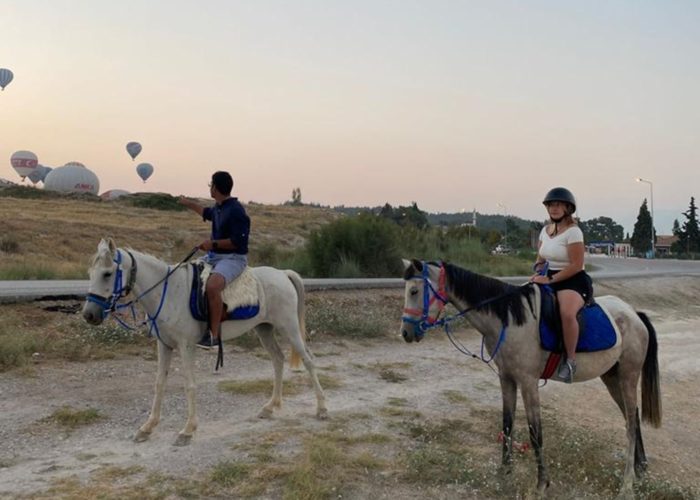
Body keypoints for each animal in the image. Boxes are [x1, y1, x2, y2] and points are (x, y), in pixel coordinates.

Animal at [82, 238, 328, 446]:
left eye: (107, 274)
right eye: (90, 273)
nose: (89, 315)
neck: (167, 292)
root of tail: (282, 274)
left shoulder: (186, 346)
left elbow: (189, 385)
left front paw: (188, 430)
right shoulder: (164, 345)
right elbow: (159, 383)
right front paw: (147, 427)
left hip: (289, 328)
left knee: (308, 360)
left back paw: (321, 408)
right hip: (264, 329)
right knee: (277, 360)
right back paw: (270, 407)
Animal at [400, 260, 660, 498]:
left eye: (414, 291)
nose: (405, 333)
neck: (508, 319)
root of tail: (633, 314)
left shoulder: (528, 382)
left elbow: (536, 433)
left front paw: (541, 484)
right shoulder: (507, 378)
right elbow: (507, 424)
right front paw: (504, 472)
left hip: (628, 376)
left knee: (630, 424)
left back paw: (627, 484)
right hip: (612, 377)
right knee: (632, 418)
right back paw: (640, 469)